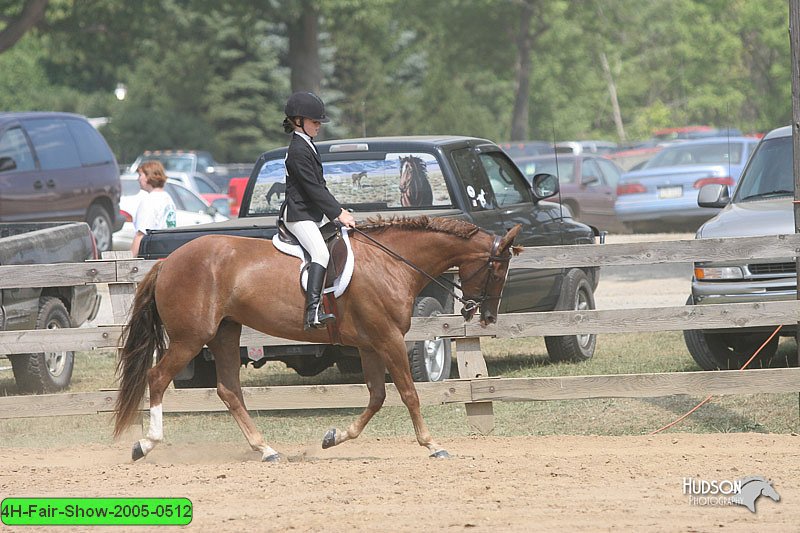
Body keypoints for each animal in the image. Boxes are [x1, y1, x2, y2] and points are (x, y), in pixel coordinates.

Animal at [115, 216, 520, 462]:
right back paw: (145, 444)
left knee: (229, 389)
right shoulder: (388, 339)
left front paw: (334, 437)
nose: (486, 316)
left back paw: (266, 449)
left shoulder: (370, 344)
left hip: (224, 334)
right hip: (190, 337)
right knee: (157, 378)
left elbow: (377, 396)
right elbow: (408, 393)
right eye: (497, 270)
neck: (393, 261)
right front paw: (432, 444)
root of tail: (168, 262)